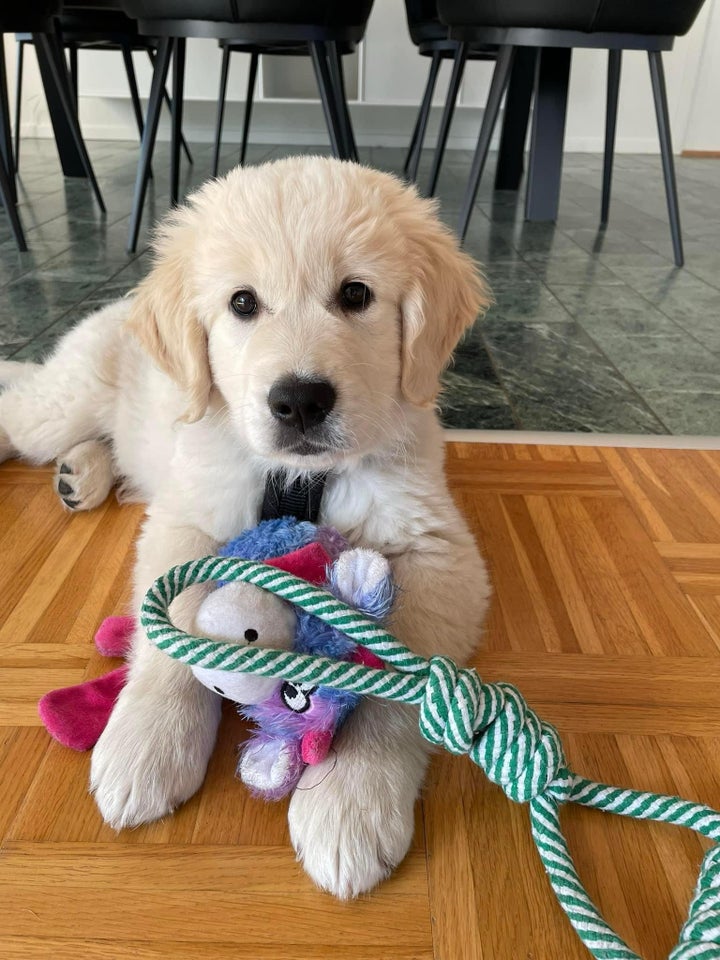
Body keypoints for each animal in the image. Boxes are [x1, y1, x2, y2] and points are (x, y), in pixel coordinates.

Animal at [0, 158, 490, 900]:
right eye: (242, 304)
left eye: (355, 294)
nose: (300, 401)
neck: (297, 478)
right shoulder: (187, 518)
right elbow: (170, 633)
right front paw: (147, 746)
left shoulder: (437, 552)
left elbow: (397, 684)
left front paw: (348, 801)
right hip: (63, 403)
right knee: (19, 405)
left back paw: (80, 475)